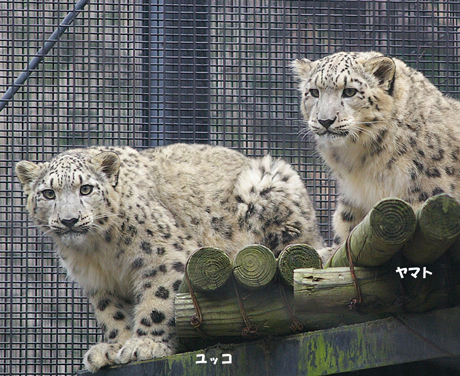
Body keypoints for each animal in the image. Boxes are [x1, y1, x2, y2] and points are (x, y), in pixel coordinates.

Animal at [14, 142, 324, 372]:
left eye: (86, 189)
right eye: (48, 193)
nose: (69, 220)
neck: (98, 252)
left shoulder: (163, 256)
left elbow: (157, 300)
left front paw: (145, 345)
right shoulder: (99, 283)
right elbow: (111, 314)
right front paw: (113, 347)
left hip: (271, 187)